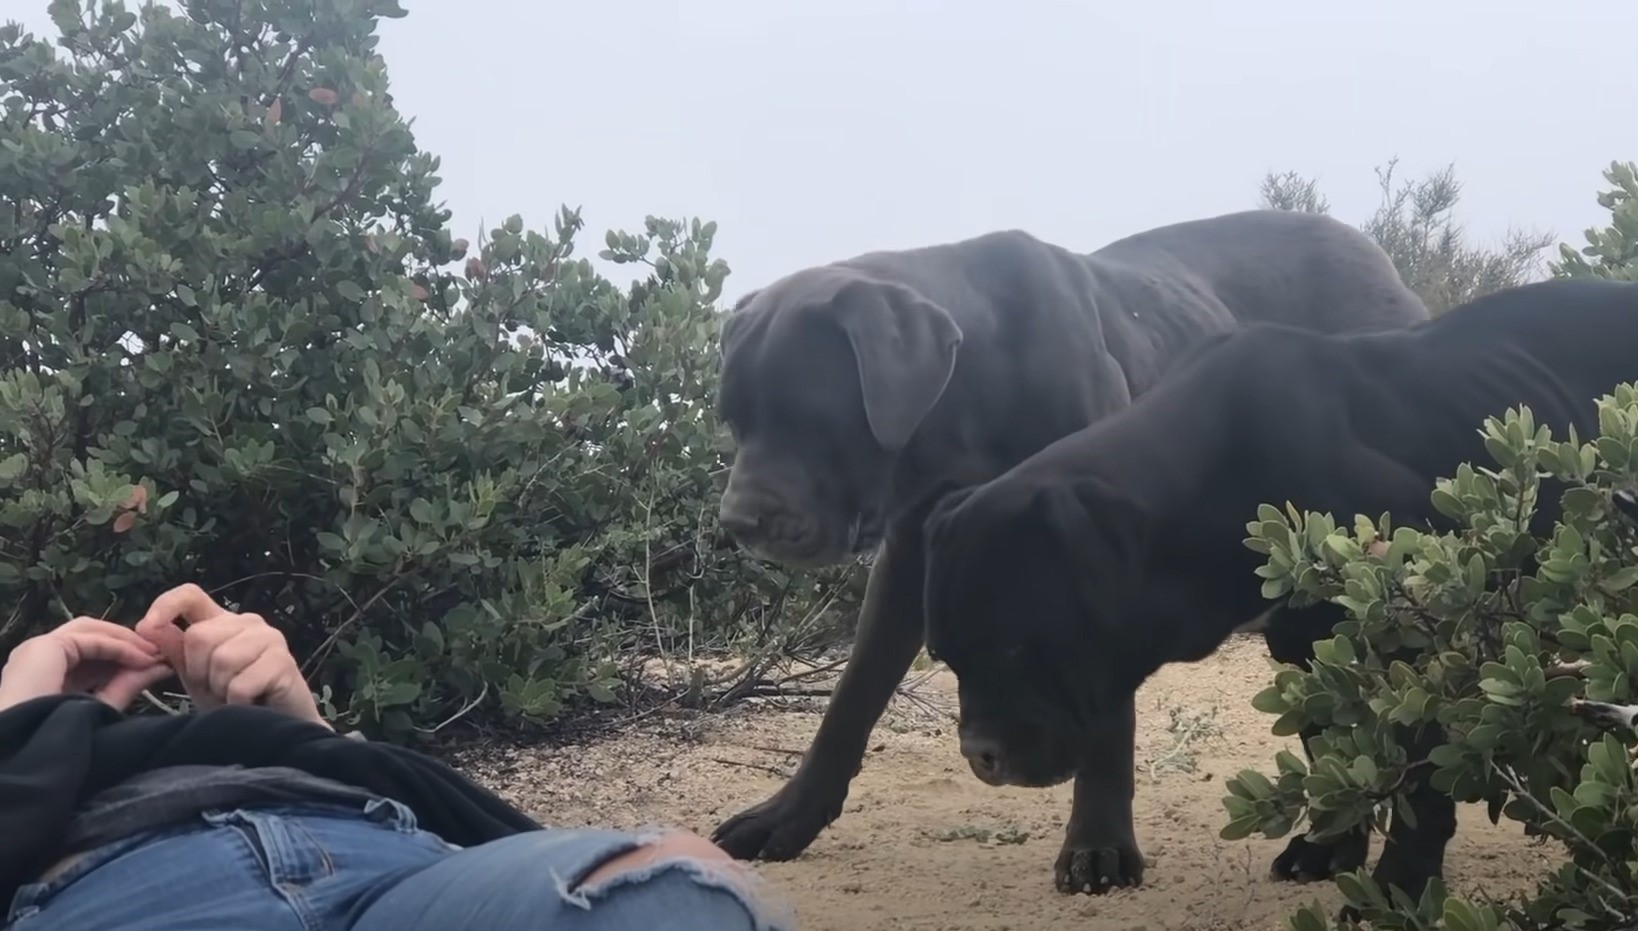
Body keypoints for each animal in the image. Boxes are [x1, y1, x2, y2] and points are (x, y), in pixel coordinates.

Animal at [710, 208, 1428, 891]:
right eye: (733, 419)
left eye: (810, 413)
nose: (737, 520)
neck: (971, 392)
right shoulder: (913, 558)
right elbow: (852, 698)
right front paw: (787, 816)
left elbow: (1108, 716)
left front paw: (1099, 844)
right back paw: (1331, 849)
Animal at [923, 277, 1638, 904]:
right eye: (948, 659)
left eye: (1018, 648)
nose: (979, 753)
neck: (1216, 479)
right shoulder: (1310, 648)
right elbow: (1333, 752)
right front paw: (1328, 848)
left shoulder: (1421, 645)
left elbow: (1422, 782)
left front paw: (1397, 887)